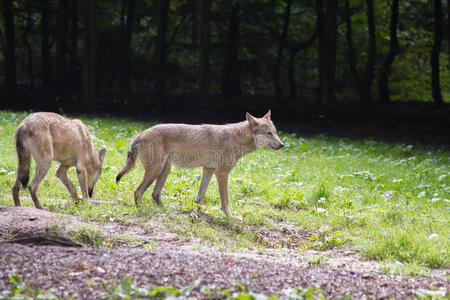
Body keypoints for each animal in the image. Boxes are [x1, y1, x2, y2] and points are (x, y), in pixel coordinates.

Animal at [116, 110, 284, 216]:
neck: (237, 138)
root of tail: (139, 134)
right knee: (138, 192)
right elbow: (225, 201)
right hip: (156, 171)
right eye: (269, 133)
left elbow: (200, 197)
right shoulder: (222, 173)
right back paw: (143, 210)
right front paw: (230, 218)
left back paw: (167, 210)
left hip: (165, 170)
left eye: (275, 132)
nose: (282, 145)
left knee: (154, 194)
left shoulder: (208, 169)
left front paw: (200, 213)